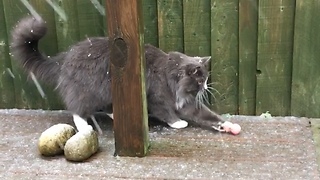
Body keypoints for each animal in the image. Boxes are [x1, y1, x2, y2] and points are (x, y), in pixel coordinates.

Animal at [10, 16, 230, 132]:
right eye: (200, 80)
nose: (206, 87)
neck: (171, 77)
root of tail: (64, 58)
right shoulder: (157, 98)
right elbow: (166, 113)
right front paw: (178, 123)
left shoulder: (186, 103)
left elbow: (206, 114)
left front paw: (226, 124)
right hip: (86, 91)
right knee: (77, 109)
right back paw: (85, 127)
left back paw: (119, 115)